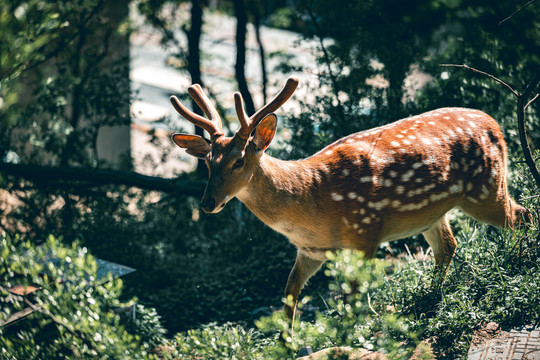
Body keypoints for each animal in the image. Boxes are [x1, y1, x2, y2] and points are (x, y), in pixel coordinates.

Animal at [170, 78, 532, 324]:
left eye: (239, 161)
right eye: (208, 162)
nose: (207, 203)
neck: (313, 205)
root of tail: (497, 125)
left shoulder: (365, 234)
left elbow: (351, 300)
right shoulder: (310, 250)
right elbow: (289, 297)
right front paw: (286, 344)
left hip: (486, 187)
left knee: (521, 215)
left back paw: (518, 263)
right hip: (433, 212)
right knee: (448, 245)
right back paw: (430, 296)